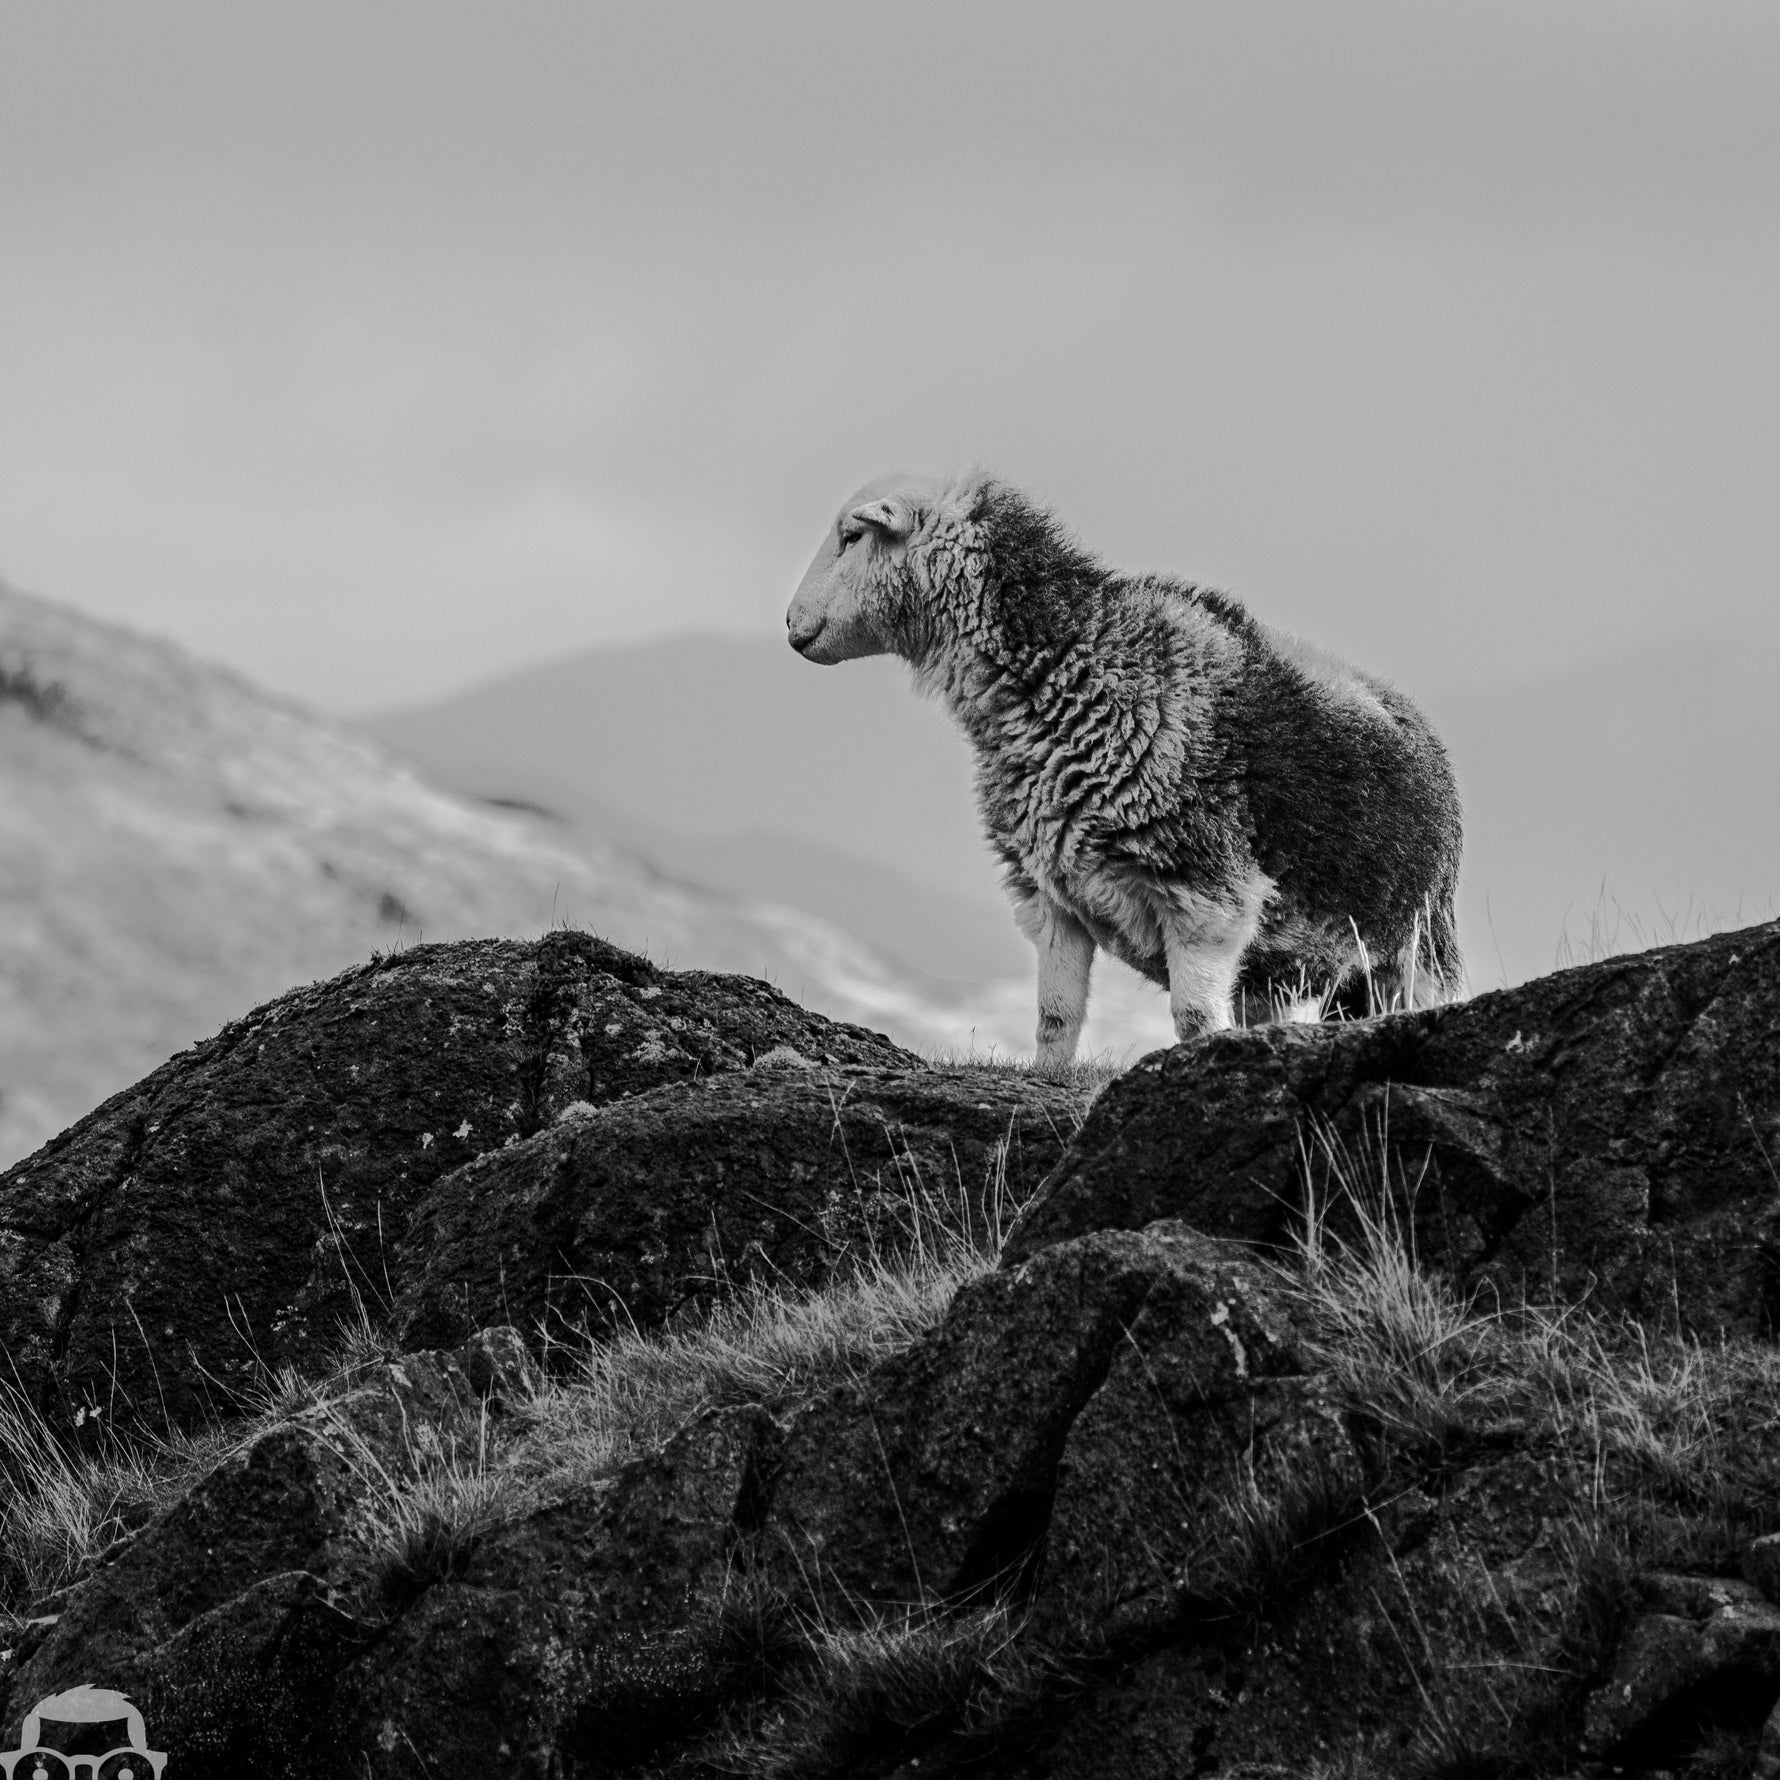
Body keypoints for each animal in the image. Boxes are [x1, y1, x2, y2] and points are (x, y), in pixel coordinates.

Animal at [785, 470, 1464, 1069]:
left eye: (852, 536)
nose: (791, 626)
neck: (1073, 666)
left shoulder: (1208, 895)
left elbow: (1195, 1019)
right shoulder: (1050, 894)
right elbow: (1055, 1016)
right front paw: (1049, 1079)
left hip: (1417, 942)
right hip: (1287, 969)